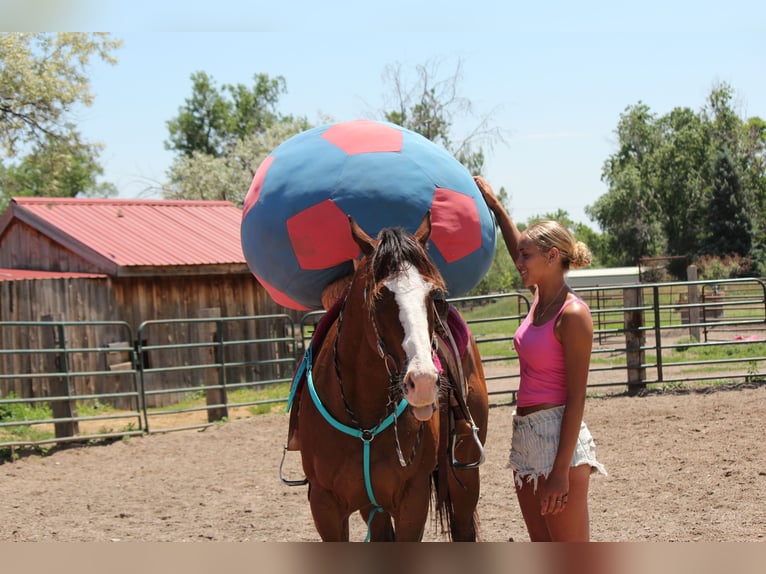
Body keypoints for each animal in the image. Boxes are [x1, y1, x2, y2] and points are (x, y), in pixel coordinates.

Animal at [293, 211, 489, 541]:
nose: (423, 382)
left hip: (464, 472)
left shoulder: (413, 500)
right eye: (380, 295)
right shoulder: (325, 505)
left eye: (434, 296)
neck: (365, 420)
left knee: (464, 527)